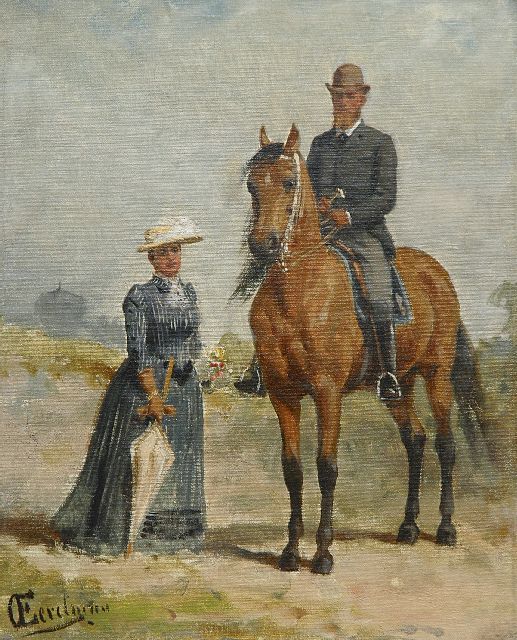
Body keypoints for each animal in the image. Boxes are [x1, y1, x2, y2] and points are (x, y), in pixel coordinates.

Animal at [238, 125, 488, 576]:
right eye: (252, 185)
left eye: (288, 182)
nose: (263, 245)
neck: (298, 291)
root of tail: (437, 273)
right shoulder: (283, 395)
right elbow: (292, 470)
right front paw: (289, 552)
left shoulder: (327, 393)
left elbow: (327, 467)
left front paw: (322, 554)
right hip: (397, 384)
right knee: (415, 440)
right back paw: (407, 527)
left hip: (437, 375)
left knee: (445, 445)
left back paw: (445, 529)